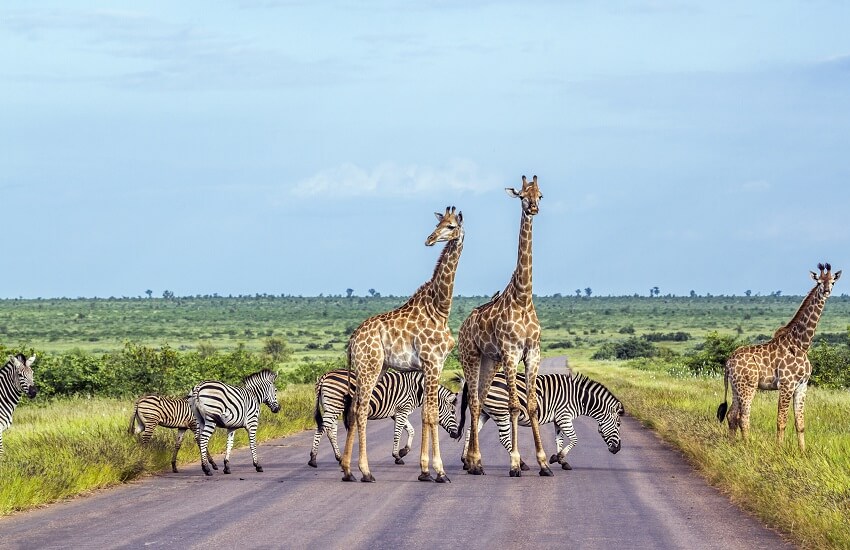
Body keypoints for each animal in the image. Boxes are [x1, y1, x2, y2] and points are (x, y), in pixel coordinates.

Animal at [308, 370, 458, 470]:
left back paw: (339, 457)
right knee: (321, 429)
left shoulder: (397, 413)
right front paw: (397, 456)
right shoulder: (402, 409)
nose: (456, 435)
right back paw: (313, 459)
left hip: (332, 406)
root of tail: (325, 375)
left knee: (330, 431)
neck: (418, 390)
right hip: (334, 405)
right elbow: (398, 433)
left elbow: (411, 430)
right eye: (453, 412)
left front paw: (404, 451)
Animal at [338, 206, 464, 484]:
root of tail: (352, 341)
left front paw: (425, 471)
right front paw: (439, 471)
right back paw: (366, 471)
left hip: (375, 368)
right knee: (360, 410)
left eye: (450, 226)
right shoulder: (433, 363)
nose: (429, 239)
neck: (440, 309)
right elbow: (431, 414)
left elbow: (427, 414)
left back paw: (348, 470)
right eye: (439, 224)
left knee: (353, 409)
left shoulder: (433, 365)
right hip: (369, 367)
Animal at [458, 176, 548, 478]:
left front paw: (544, 462)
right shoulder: (511, 353)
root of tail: (463, 326)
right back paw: (474, 461)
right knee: (475, 403)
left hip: (490, 361)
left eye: (540, 195)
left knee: (480, 400)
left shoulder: (532, 353)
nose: (533, 208)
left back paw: (474, 461)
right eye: (522, 195)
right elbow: (513, 406)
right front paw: (515, 464)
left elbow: (531, 405)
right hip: (471, 356)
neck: (523, 297)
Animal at [458, 374, 624, 472]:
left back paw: (465, 461)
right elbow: (575, 439)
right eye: (618, 425)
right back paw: (521, 463)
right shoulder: (564, 416)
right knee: (504, 438)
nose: (617, 449)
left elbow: (559, 440)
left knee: (470, 431)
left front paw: (561, 460)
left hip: (484, 412)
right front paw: (557, 457)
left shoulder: (558, 419)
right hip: (501, 411)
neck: (579, 398)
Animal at [716, 264, 840, 452]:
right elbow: (781, 421)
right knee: (743, 417)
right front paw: (779, 450)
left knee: (732, 415)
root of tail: (728, 362)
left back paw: (732, 445)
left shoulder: (802, 386)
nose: (826, 291)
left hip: (736, 386)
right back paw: (747, 446)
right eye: (819, 282)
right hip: (748, 386)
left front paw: (802, 452)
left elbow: (800, 423)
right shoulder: (787, 384)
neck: (801, 344)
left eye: (832, 281)